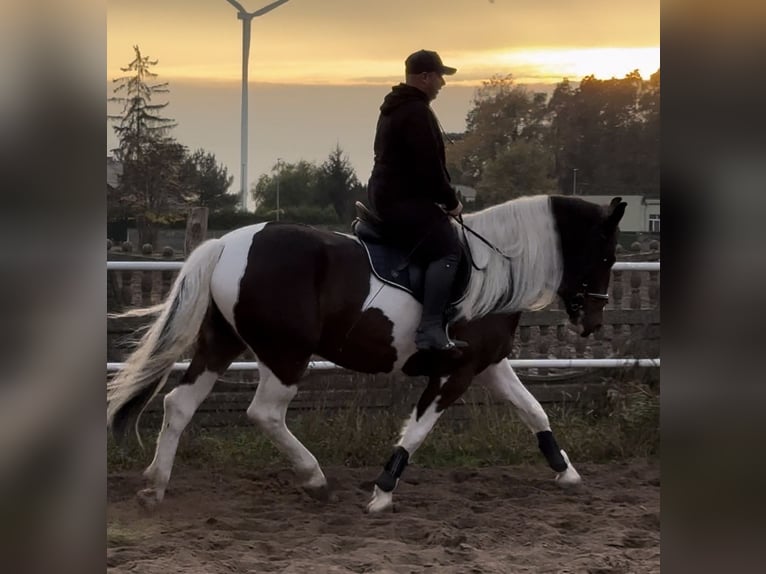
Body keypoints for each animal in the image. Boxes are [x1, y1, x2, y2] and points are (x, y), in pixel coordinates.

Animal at [108, 194, 628, 512]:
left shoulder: (490, 365)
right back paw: (314, 478)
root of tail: (226, 244)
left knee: (179, 404)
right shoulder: (456, 372)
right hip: (285, 355)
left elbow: (534, 411)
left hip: (223, 344)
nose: (593, 322)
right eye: (605, 256)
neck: (494, 272)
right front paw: (382, 492)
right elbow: (418, 429)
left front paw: (567, 472)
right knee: (264, 414)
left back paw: (155, 485)